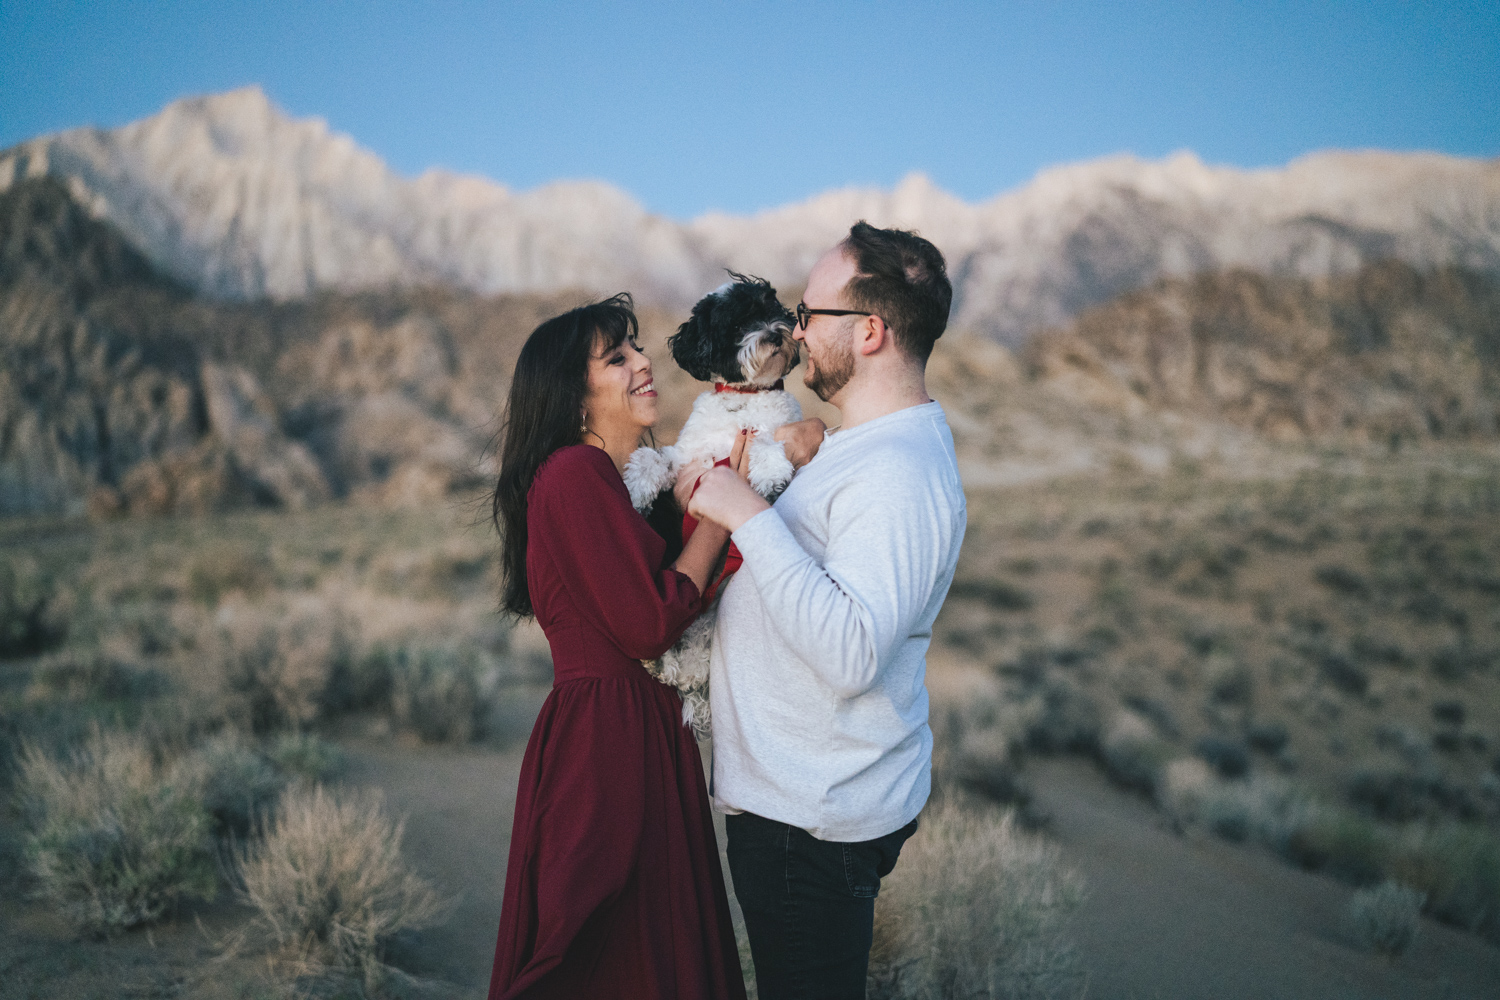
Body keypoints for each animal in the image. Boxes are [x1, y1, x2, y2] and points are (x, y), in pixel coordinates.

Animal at [624, 274, 804, 743]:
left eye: (770, 309)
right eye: (736, 325)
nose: (775, 333)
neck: (742, 401)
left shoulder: (774, 432)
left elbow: (763, 439)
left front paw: (769, 470)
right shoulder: (689, 461)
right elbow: (654, 458)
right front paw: (635, 488)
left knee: (689, 673)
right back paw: (659, 661)